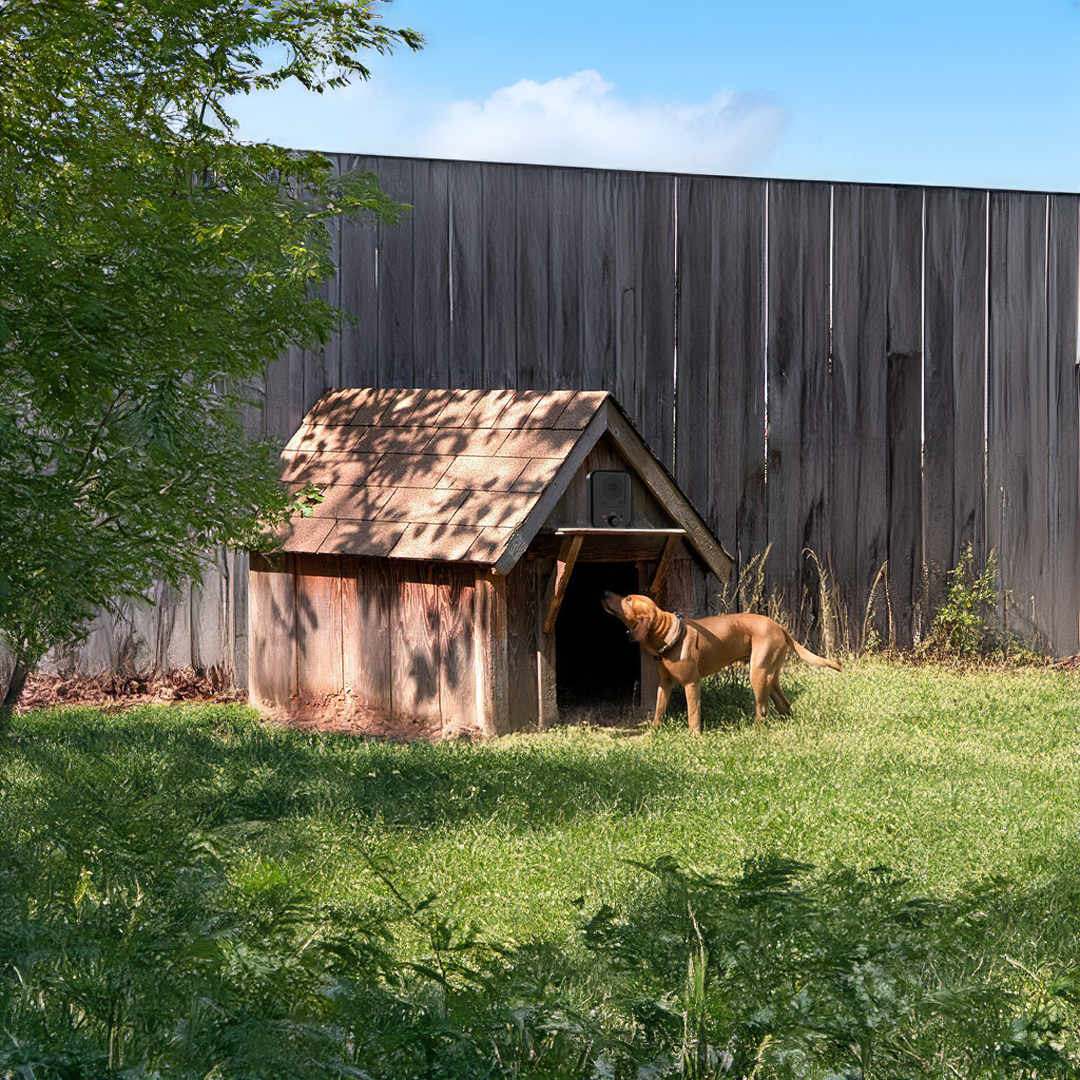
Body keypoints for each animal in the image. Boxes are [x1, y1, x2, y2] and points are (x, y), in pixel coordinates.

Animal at [600, 591, 842, 734]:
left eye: (628, 599)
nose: (606, 591)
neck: (668, 633)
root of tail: (780, 627)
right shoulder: (664, 684)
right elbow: (659, 710)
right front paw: (654, 731)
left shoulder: (692, 683)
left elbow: (693, 714)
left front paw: (694, 737)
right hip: (769, 675)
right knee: (784, 704)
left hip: (758, 674)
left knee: (762, 710)